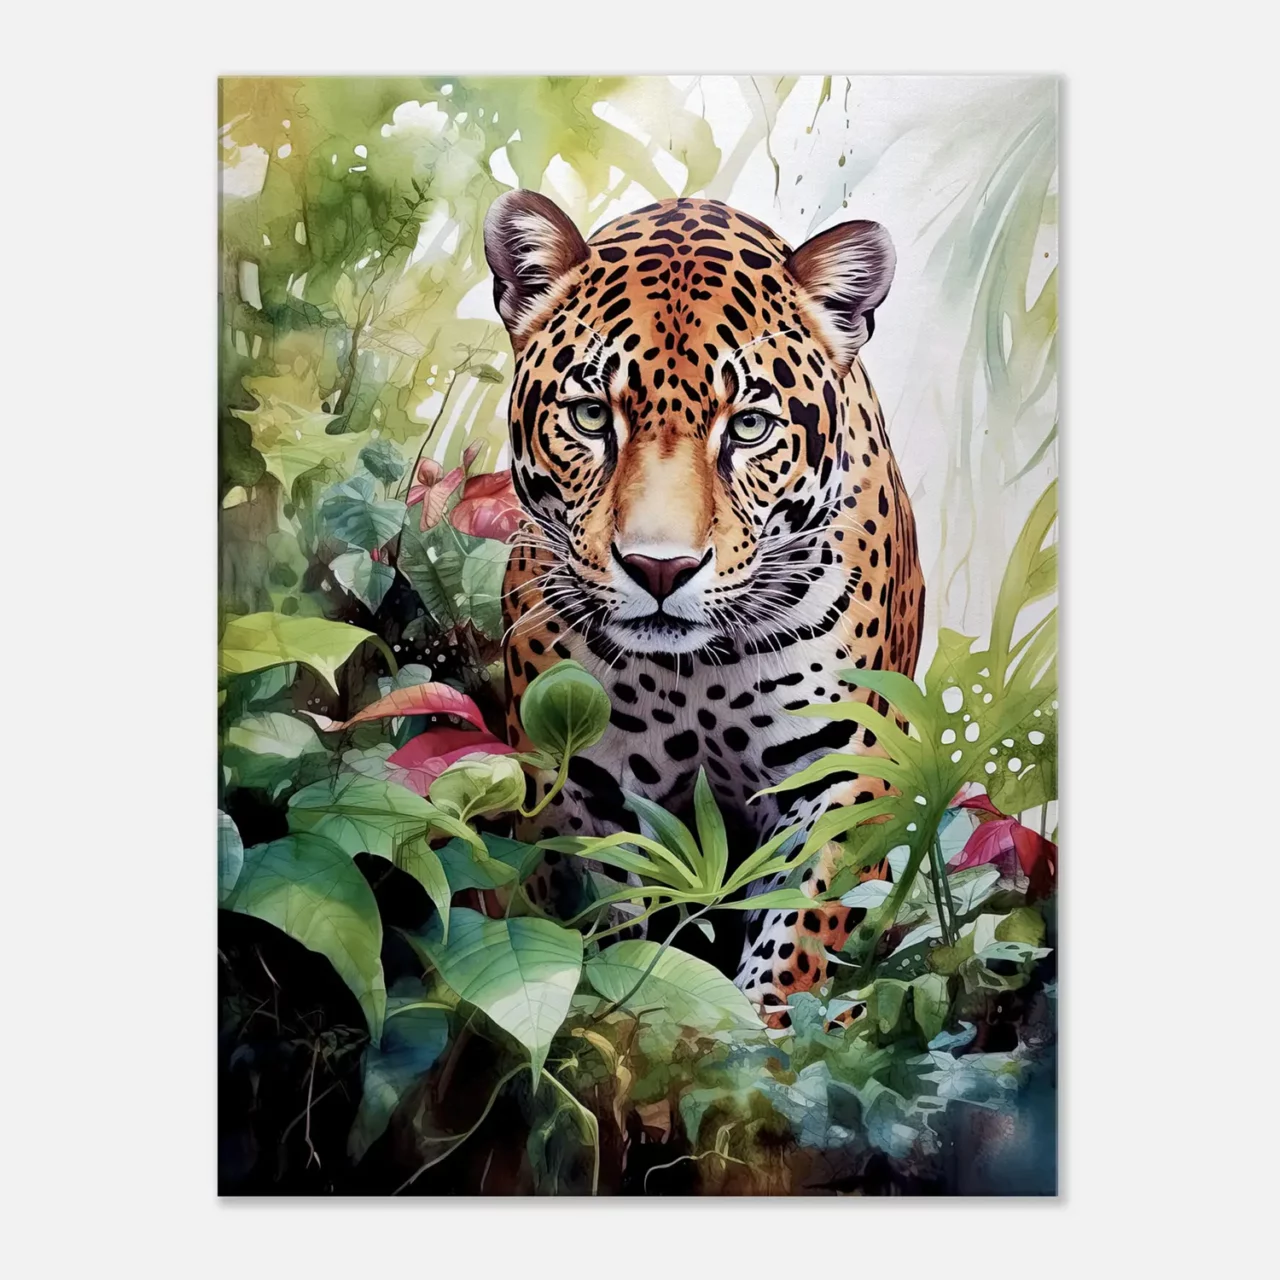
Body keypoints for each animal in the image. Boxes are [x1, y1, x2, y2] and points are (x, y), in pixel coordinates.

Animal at [481, 191, 924, 1028]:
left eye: (748, 426)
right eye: (592, 417)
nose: (662, 567)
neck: (698, 672)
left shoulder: (844, 767)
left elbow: (803, 922)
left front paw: (763, 1030)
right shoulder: (577, 776)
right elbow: (609, 911)